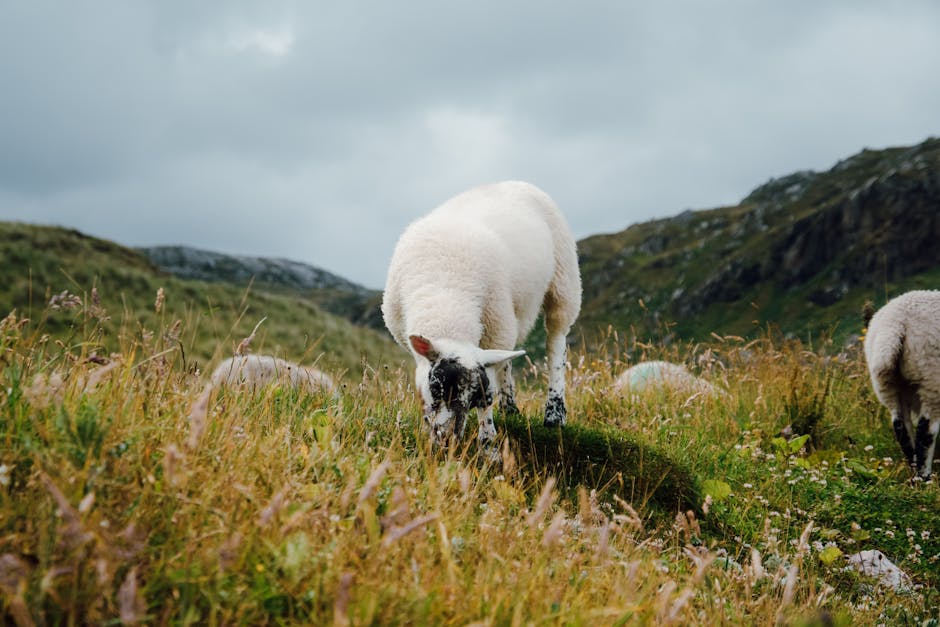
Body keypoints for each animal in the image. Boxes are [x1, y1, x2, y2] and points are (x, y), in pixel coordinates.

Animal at [381, 181, 582, 448]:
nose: (448, 441)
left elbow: (489, 399)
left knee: (556, 341)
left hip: (564, 281)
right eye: (437, 389)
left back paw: (554, 413)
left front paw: (487, 441)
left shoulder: (494, 325)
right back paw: (510, 407)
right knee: (506, 359)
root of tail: (516, 182)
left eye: (474, 399)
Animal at [863, 290, 940, 479]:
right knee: (925, 431)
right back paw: (924, 476)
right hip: (931, 376)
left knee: (901, 427)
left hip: (887, 383)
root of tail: (895, 323)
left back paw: (913, 472)